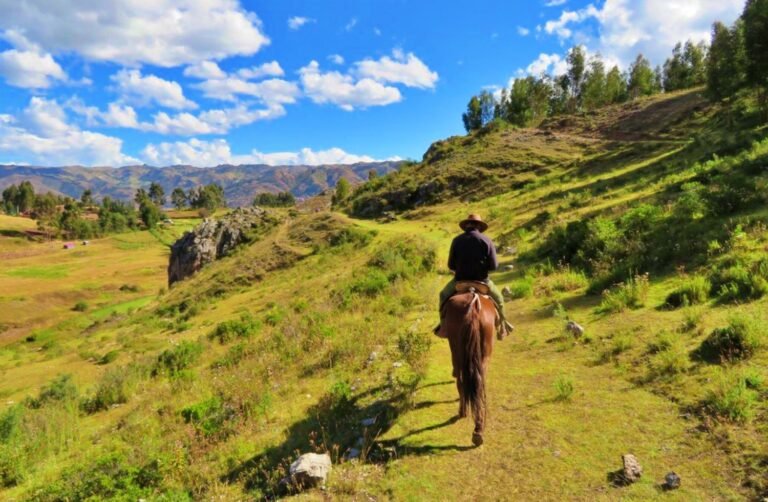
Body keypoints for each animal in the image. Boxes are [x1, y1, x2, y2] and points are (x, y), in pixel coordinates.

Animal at [440, 288, 496, 446]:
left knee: (462, 380)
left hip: (458, 351)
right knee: (477, 382)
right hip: (482, 355)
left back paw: (466, 415)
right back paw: (478, 429)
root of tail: (473, 306)